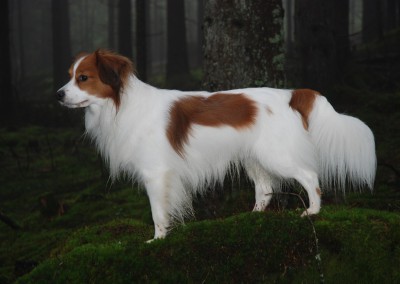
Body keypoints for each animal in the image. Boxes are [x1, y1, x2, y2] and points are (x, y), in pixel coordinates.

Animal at [56, 50, 376, 241]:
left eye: (83, 78)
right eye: (69, 76)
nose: (58, 95)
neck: (120, 106)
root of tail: (292, 94)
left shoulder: (156, 173)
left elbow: (158, 211)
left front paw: (157, 239)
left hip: (277, 155)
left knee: (310, 177)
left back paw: (312, 211)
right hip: (253, 158)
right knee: (265, 189)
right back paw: (252, 215)